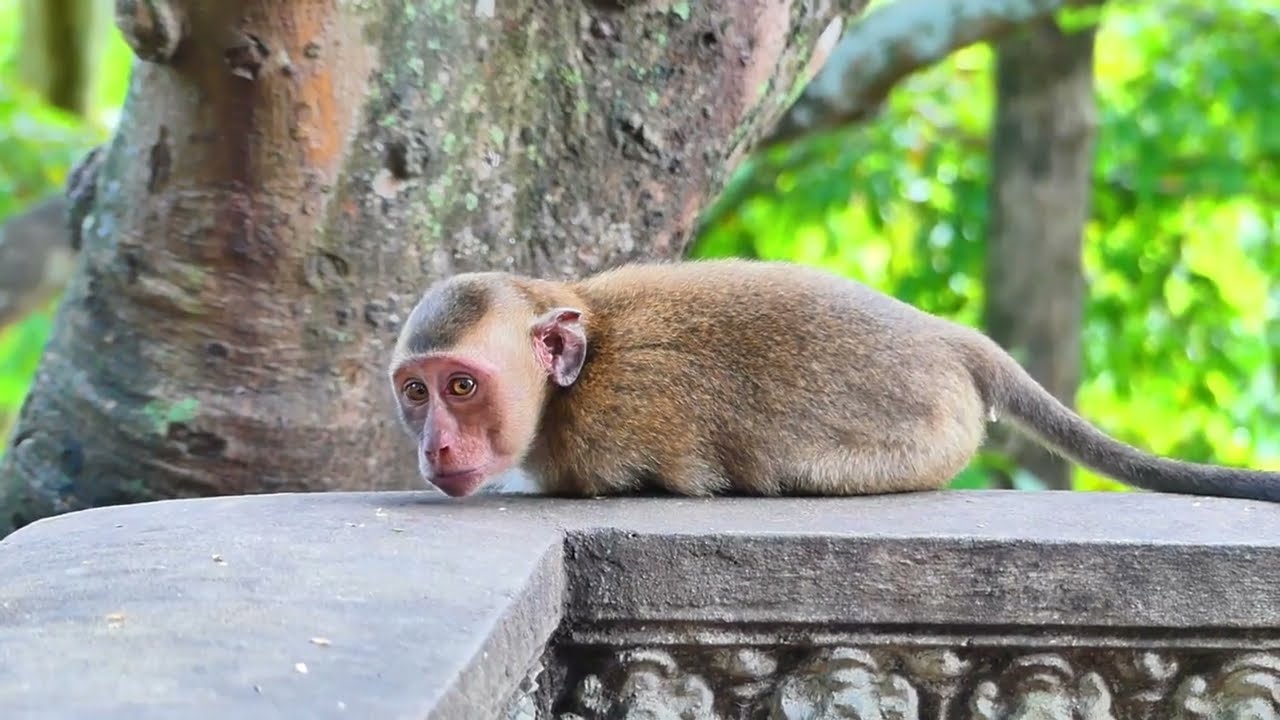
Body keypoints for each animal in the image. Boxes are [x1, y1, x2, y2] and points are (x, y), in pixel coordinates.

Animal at [387, 258, 1280, 502]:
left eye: (461, 387)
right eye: (416, 392)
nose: (435, 446)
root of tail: (947, 338)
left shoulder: (603, 436)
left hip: (924, 437)